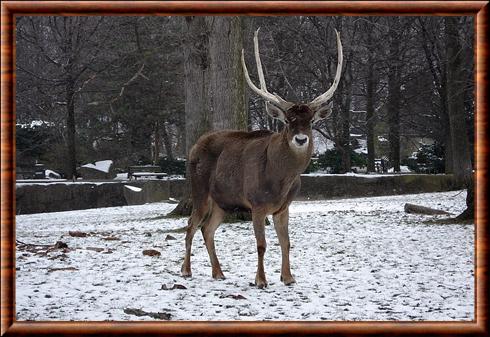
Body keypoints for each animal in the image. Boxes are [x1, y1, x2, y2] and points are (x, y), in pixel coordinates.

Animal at [181, 28, 344, 288]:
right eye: (287, 120)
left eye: (311, 121)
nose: (301, 139)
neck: (279, 180)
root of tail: (194, 146)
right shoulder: (256, 204)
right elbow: (261, 245)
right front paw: (260, 280)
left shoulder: (283, 207)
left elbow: (286, 242)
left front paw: (288, 277)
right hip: (199, 190)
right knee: (190, 226)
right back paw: (186, 270)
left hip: (222, 201)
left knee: (207, 228)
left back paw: (218, 272)